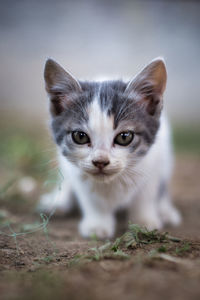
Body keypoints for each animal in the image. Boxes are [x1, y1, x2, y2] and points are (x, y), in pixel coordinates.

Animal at [39, 57, 181, 238]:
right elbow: (90, 196)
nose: (100, 161)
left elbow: (146, 194)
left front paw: (143, 221)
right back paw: (58, 201)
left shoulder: (154, 159)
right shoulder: (75, 170)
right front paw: (97, 224)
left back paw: (165, 210)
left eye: (124, 137)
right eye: (80, 136)